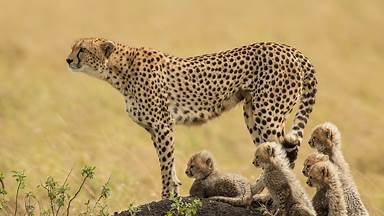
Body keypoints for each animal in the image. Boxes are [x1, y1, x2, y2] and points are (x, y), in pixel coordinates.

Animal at [66, 37, 318, 197]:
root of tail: (290, 49)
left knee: (284, 153)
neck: (119, 70)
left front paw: (167, 195)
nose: (68, 60)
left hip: (268, 112)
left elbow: (166, 163)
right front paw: (174, 190)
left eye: (82, 49)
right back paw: (255, 191)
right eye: (74, 48)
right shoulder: (155, 129)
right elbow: (167, 164)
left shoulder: (163, 124)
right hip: (252, 112)